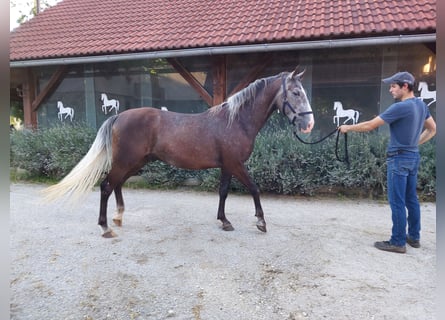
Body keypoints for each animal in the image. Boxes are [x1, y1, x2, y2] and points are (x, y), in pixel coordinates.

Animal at [40, 67, 312, 238]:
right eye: (296, 93)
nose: (309, 124)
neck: (235, 120)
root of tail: (118, 116)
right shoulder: (236, 164)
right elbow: (254, 188)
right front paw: (260, 222)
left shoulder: (227, 166)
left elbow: (223, 192)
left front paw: (224, 221)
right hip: (126, 162)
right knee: (107, 186)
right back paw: (106, 228)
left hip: (134, 163)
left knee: (116, 185)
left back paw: (118, 217)